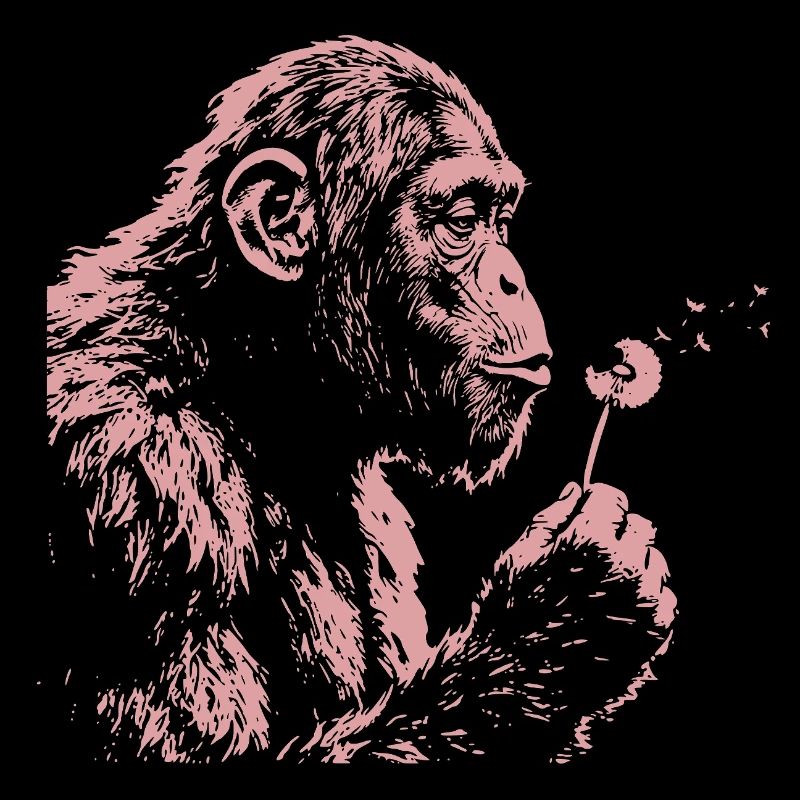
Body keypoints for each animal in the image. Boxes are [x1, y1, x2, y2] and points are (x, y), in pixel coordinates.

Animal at [46, 37, 676, 764]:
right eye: (463, 222)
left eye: (502, 221)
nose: (513, 279)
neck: (257, 375)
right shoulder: (142, 480)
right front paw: (566, 607)